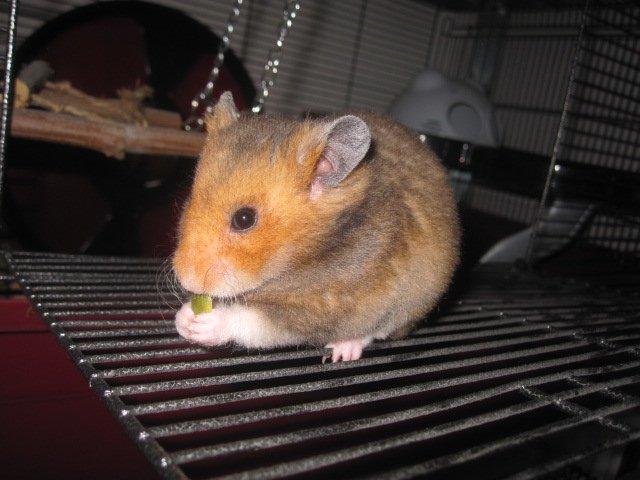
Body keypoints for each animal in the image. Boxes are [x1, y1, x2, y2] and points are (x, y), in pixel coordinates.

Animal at [172, 91, 460, 362]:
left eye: (244, 219)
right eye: (190, 198)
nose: (187, 279)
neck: (306, 255)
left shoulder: (329, 302)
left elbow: (261, 321)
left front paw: (204, 324)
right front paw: (183, 318)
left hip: (409, 302)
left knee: (374, 330)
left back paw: (343, 350)